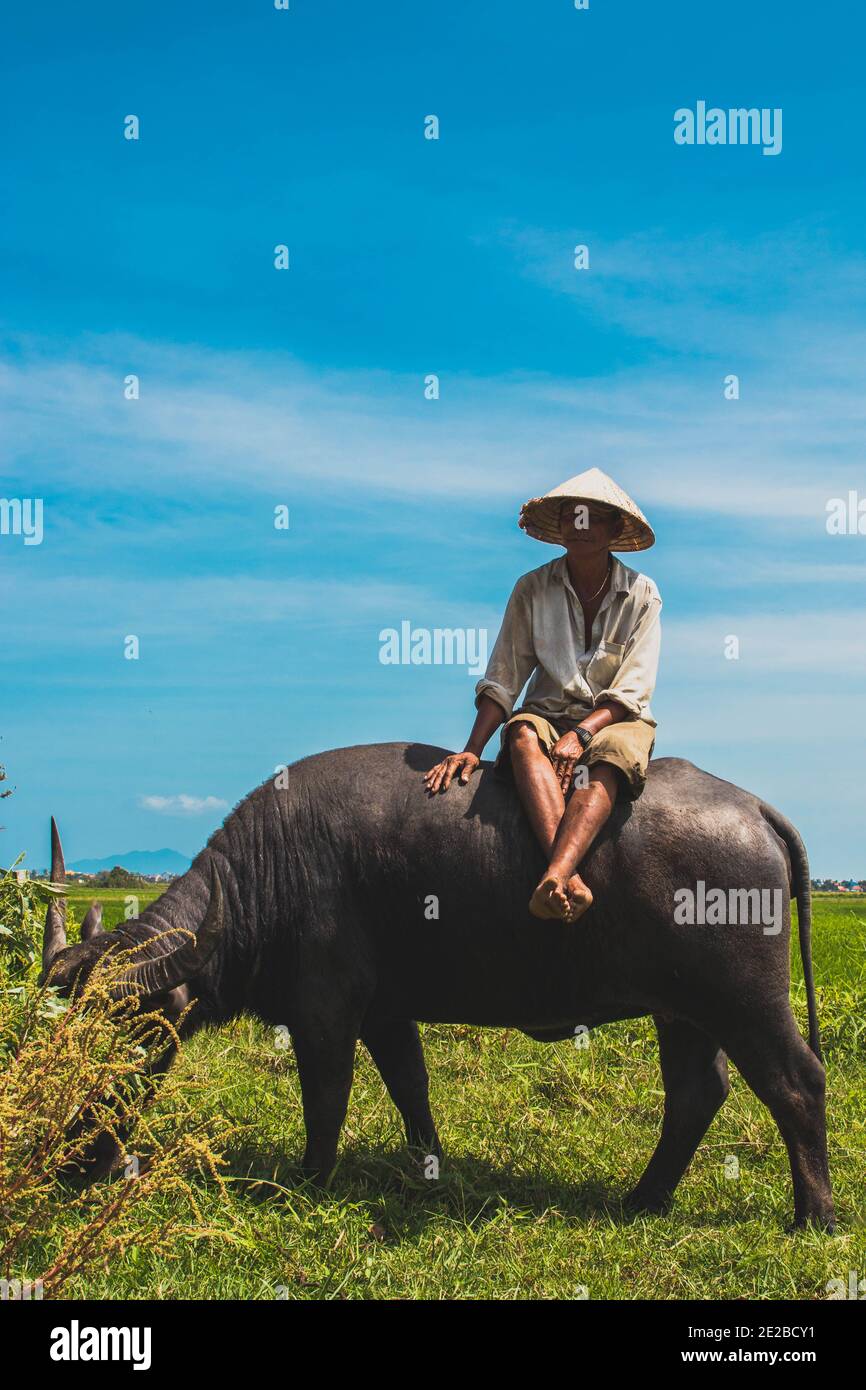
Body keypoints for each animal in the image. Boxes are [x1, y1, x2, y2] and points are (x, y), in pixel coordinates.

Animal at [38, 745, 834, 1234]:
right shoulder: (387, 1013)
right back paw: (643, 1198)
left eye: (133, 1042)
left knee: (796, 1083)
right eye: (58, 1034)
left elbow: (326, 1097)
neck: (263, 879)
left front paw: (309, 1179)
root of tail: (754, 809)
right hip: (683, 1011)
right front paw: (429, 1163)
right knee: (697, 1092)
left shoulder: (325, 1012)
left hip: (745, 1001)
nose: (70, 1159)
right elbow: (409, 1085)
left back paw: (814, 1216)